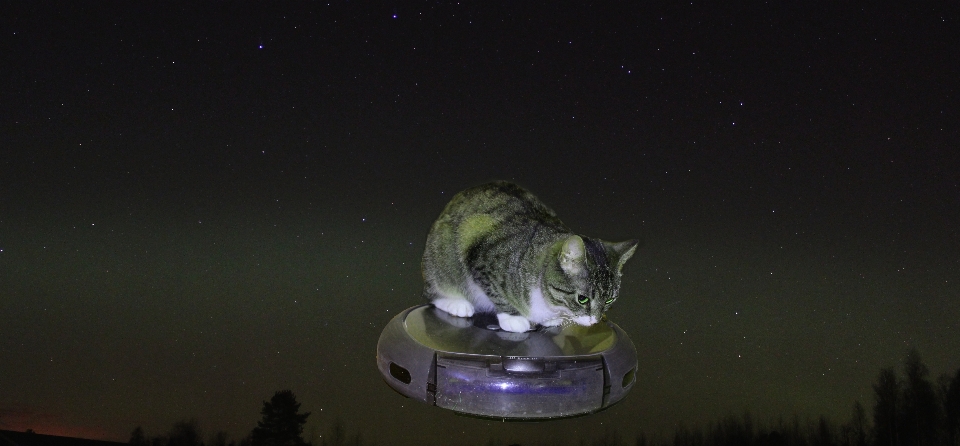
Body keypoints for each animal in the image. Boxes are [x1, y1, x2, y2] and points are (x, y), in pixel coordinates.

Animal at [420, 181, 636, 332]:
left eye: (609, 300)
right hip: (441, 259)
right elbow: (497, 292)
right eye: (582, 299)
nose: (594, 321)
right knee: (433, 294)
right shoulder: (479, 252)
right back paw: (456, 303)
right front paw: (513, 318)